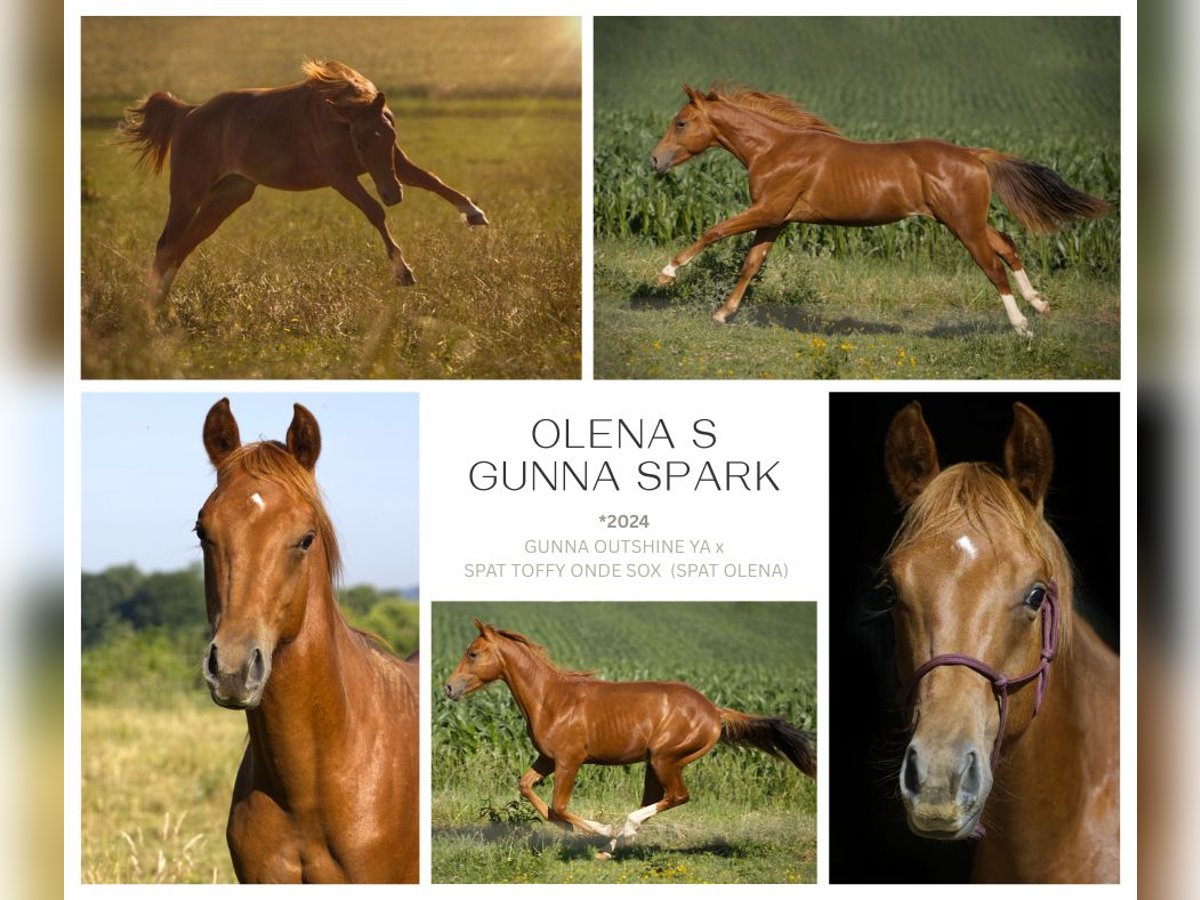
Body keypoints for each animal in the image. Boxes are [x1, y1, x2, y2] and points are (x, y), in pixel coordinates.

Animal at [121, 60, 489, 305]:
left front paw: (474, 213)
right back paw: (153, 309)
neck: (337, 118)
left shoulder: (394, 162)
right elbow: (374, 212)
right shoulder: (339, 176)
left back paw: (161, 303)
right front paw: (403, 271)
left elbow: (431, 179)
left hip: (227, 197)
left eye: (390, 134)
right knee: (167, 244)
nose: (393, 195)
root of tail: (188, 112)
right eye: (360, 143)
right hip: (188, 193)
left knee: (184, 244)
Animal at [444, 619, 815, 858]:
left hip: (666, 758)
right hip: (655, 763)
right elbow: (527, 788)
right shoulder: (547, 759)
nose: (448, 688)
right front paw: (569, 830)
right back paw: (613, 846)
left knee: (677, 796)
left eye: (473, 653)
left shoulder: (569, 760)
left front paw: (598, 829)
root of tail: (714, 710)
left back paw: (622, 832)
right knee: (656, 798)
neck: (551, 699)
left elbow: (559, 804)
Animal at [650, 84, 1110, 336]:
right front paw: (722, 313)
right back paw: (1040, 305)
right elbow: (751, 263)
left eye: (680, 122)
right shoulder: (776, 219)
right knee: (1009, 246)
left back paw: (1023, 327)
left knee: (993, 267)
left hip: (963, 225)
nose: (654, 161)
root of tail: (973, 155)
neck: (776, 149)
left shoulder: (766, 210)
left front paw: (665, 274)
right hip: (969, 222)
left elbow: (714, 231)